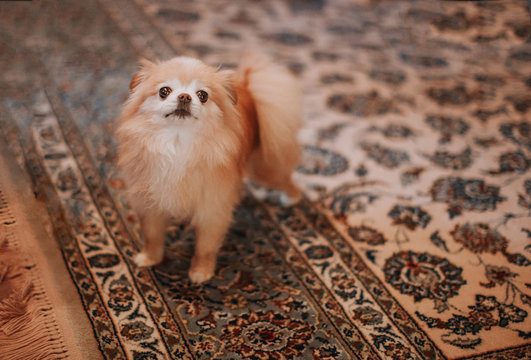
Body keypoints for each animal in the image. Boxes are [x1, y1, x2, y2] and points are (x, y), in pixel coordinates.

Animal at [117, 54, 304, 284]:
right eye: (164, 91)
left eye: (203, 95)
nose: (185, 97)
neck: (178, 143)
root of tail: (248, 89)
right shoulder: (150, 202)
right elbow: (152, 236)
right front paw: (150, 258)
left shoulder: (212, 208)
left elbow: (205, 247)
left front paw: (201, 272)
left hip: (264, 169)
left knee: (286, 180)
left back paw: (291, 198)